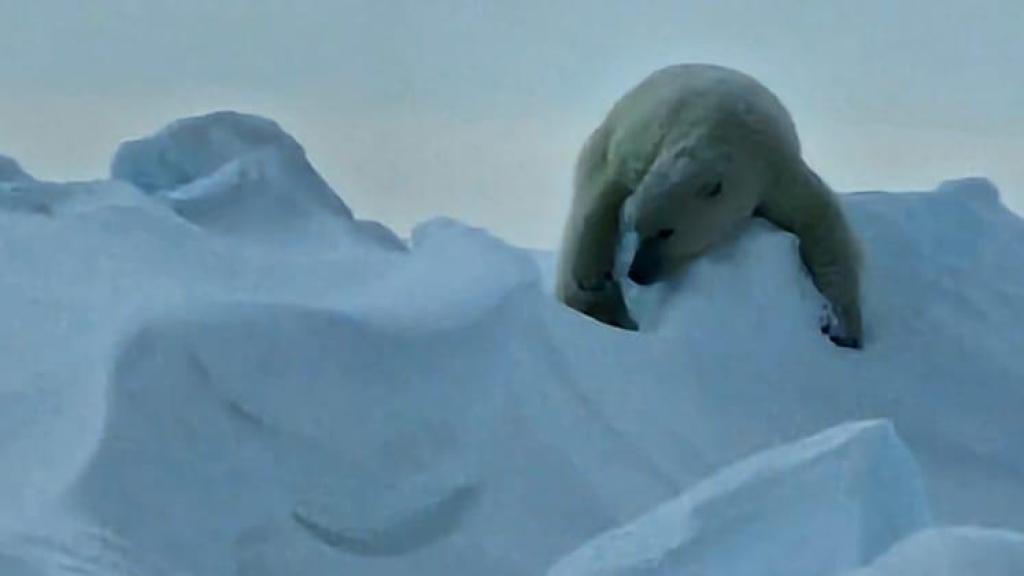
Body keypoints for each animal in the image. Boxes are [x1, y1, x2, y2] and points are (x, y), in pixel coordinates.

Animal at [555, 64, 863, 348]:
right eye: (635, 228)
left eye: (667, 231)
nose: (637, 273)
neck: (718, 128)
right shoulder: (639, 148)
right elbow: (606, 192)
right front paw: (591, 276)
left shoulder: (774, 170)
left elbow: (819, 221)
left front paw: (844, 329)